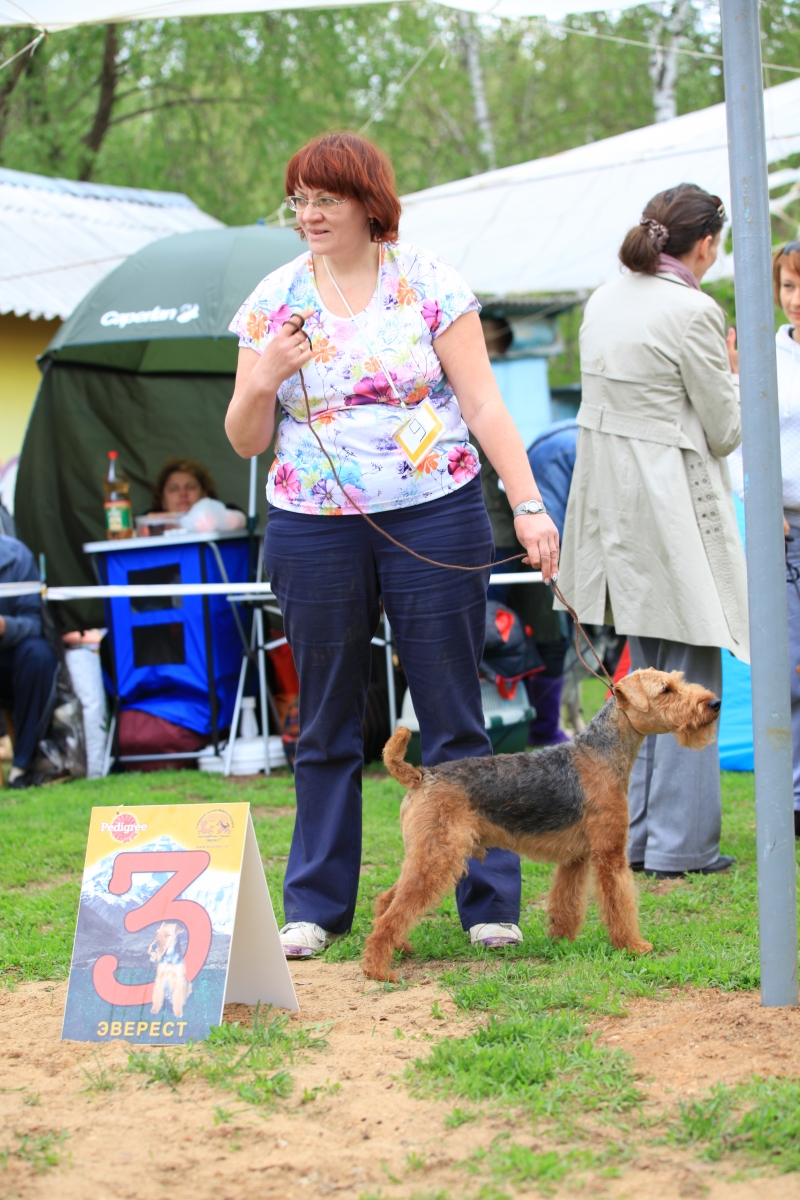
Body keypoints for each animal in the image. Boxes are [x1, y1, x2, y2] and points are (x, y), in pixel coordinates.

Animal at [362, 672, 719, 979]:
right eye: (666, 690)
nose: (714, 703)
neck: (601, 753)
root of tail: (420, 775)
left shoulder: (576, 857)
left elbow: (567, 902)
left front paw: (561, 940)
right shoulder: (610, 852)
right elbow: (620, 902)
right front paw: (634, 946)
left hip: (425, 855)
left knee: (386, 901)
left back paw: (401, 948)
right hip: (437, 857)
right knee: (395, 911)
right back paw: (378, 969)